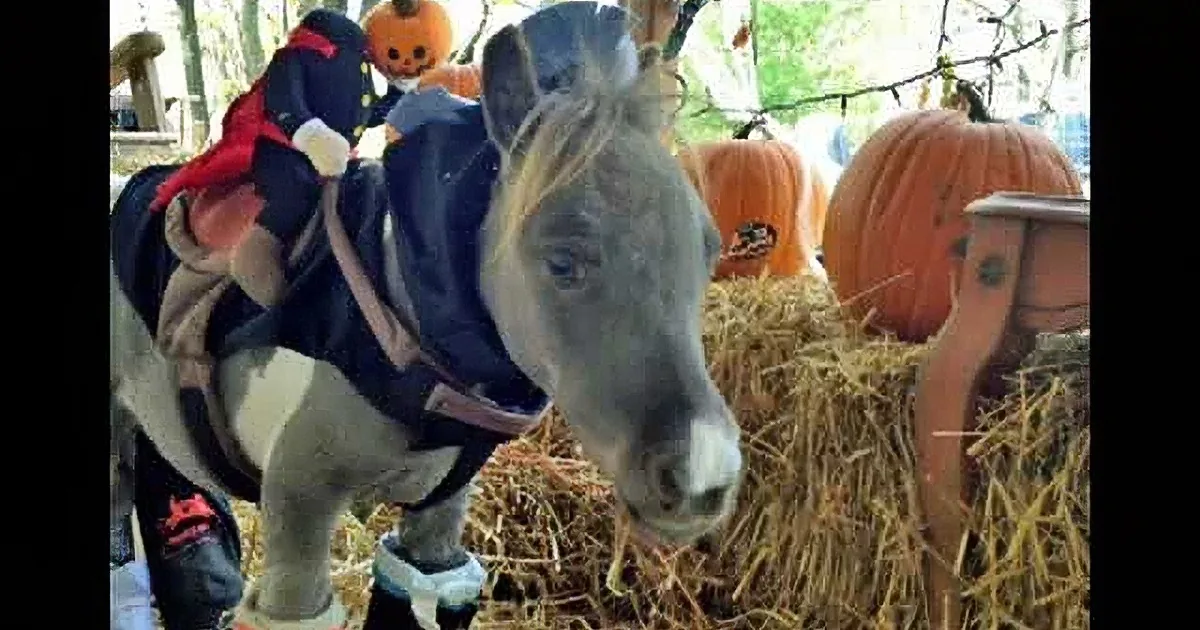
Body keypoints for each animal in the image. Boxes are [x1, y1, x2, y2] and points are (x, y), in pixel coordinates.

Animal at [109, 4, 744, 628]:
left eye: (709, 251)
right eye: (562, 261)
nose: (702, 474)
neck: (397, 319)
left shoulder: (439, 520)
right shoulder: (297, 515)